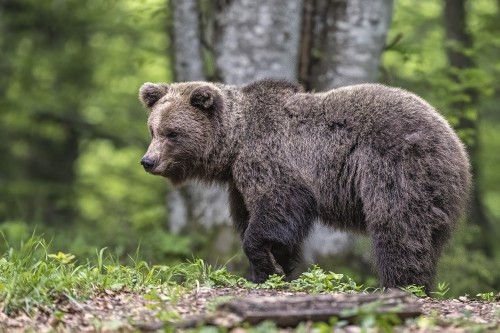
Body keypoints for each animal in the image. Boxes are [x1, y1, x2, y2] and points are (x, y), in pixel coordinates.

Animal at [139, 78, 470, 290]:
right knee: (426, 238)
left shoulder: (271, 159)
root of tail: (456, 143)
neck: (235, 143)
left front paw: (265, 266)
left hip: (397, 170)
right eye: (153, 129)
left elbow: (276, 207)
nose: (148, 161)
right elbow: (263, 222)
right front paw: (276, 270)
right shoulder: (238, 183)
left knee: (399, 228)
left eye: (173, 133)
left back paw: (400, 285)